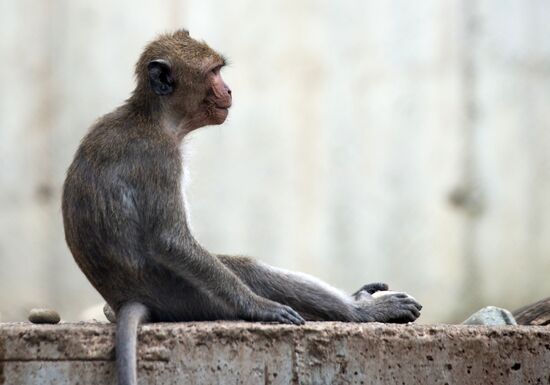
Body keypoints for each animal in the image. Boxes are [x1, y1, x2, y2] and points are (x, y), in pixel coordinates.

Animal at [61, 27, 422, 384]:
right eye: (212, 72)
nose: (229, 89)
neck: (154, 117)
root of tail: (126, 299)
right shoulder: (161, 157)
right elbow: (170, 241)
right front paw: (259, 307)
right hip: (187, 297)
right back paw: (361, 311)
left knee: (245, 267)